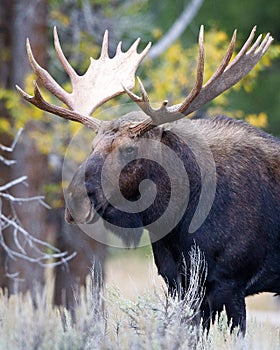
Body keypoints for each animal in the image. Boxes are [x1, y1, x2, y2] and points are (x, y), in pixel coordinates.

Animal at [17, 25, 278, 334]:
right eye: (92, 145)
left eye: (130, 149)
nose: (75, 201)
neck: (180, 227)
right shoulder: (179, 284)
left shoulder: (231, 282)